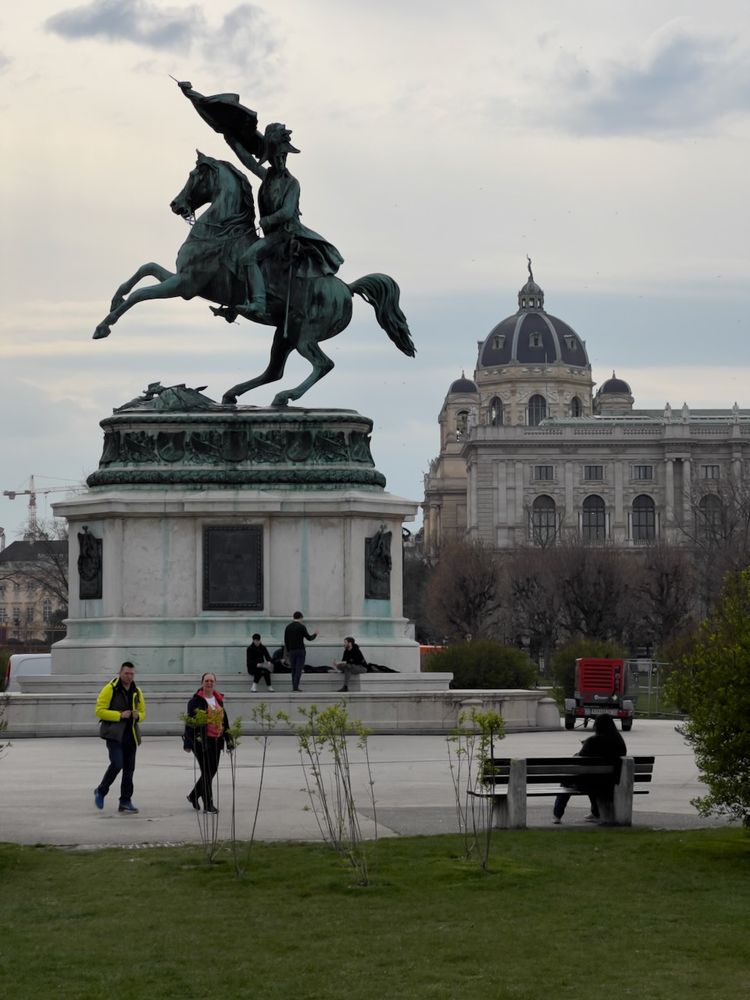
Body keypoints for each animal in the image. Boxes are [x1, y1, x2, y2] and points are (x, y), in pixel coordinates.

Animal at [92, 152, 418, 402]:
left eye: (194, 175)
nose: (176, 205)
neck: (220, 231)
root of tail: (346, 289)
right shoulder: (182, 279)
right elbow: (146, 268)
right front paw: (114, 298)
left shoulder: (184, 285)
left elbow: (141, 294)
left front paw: (103, 326)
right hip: (285, 335)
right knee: (275, 371)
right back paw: (232, 394)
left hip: (306, 336)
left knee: (323, 364)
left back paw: (285, 396)